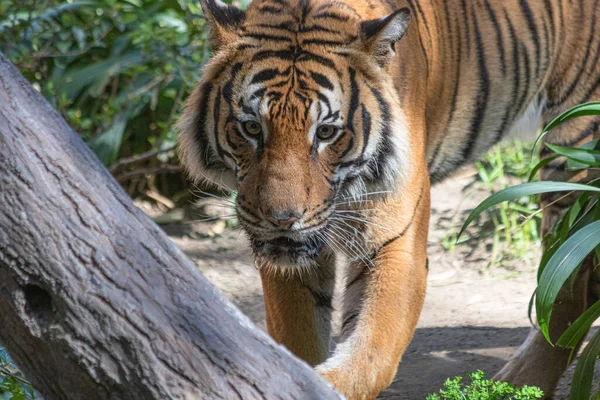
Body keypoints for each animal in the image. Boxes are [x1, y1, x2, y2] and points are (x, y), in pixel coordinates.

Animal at [176, 0, 600, 398]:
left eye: (326, 132)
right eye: (251, 128)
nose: (281, 218)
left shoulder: (395, 242)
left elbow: (370, 356)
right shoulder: (288, 256)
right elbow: (297, 334)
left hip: (574, 148)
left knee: (569, 279)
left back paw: (517, 384)